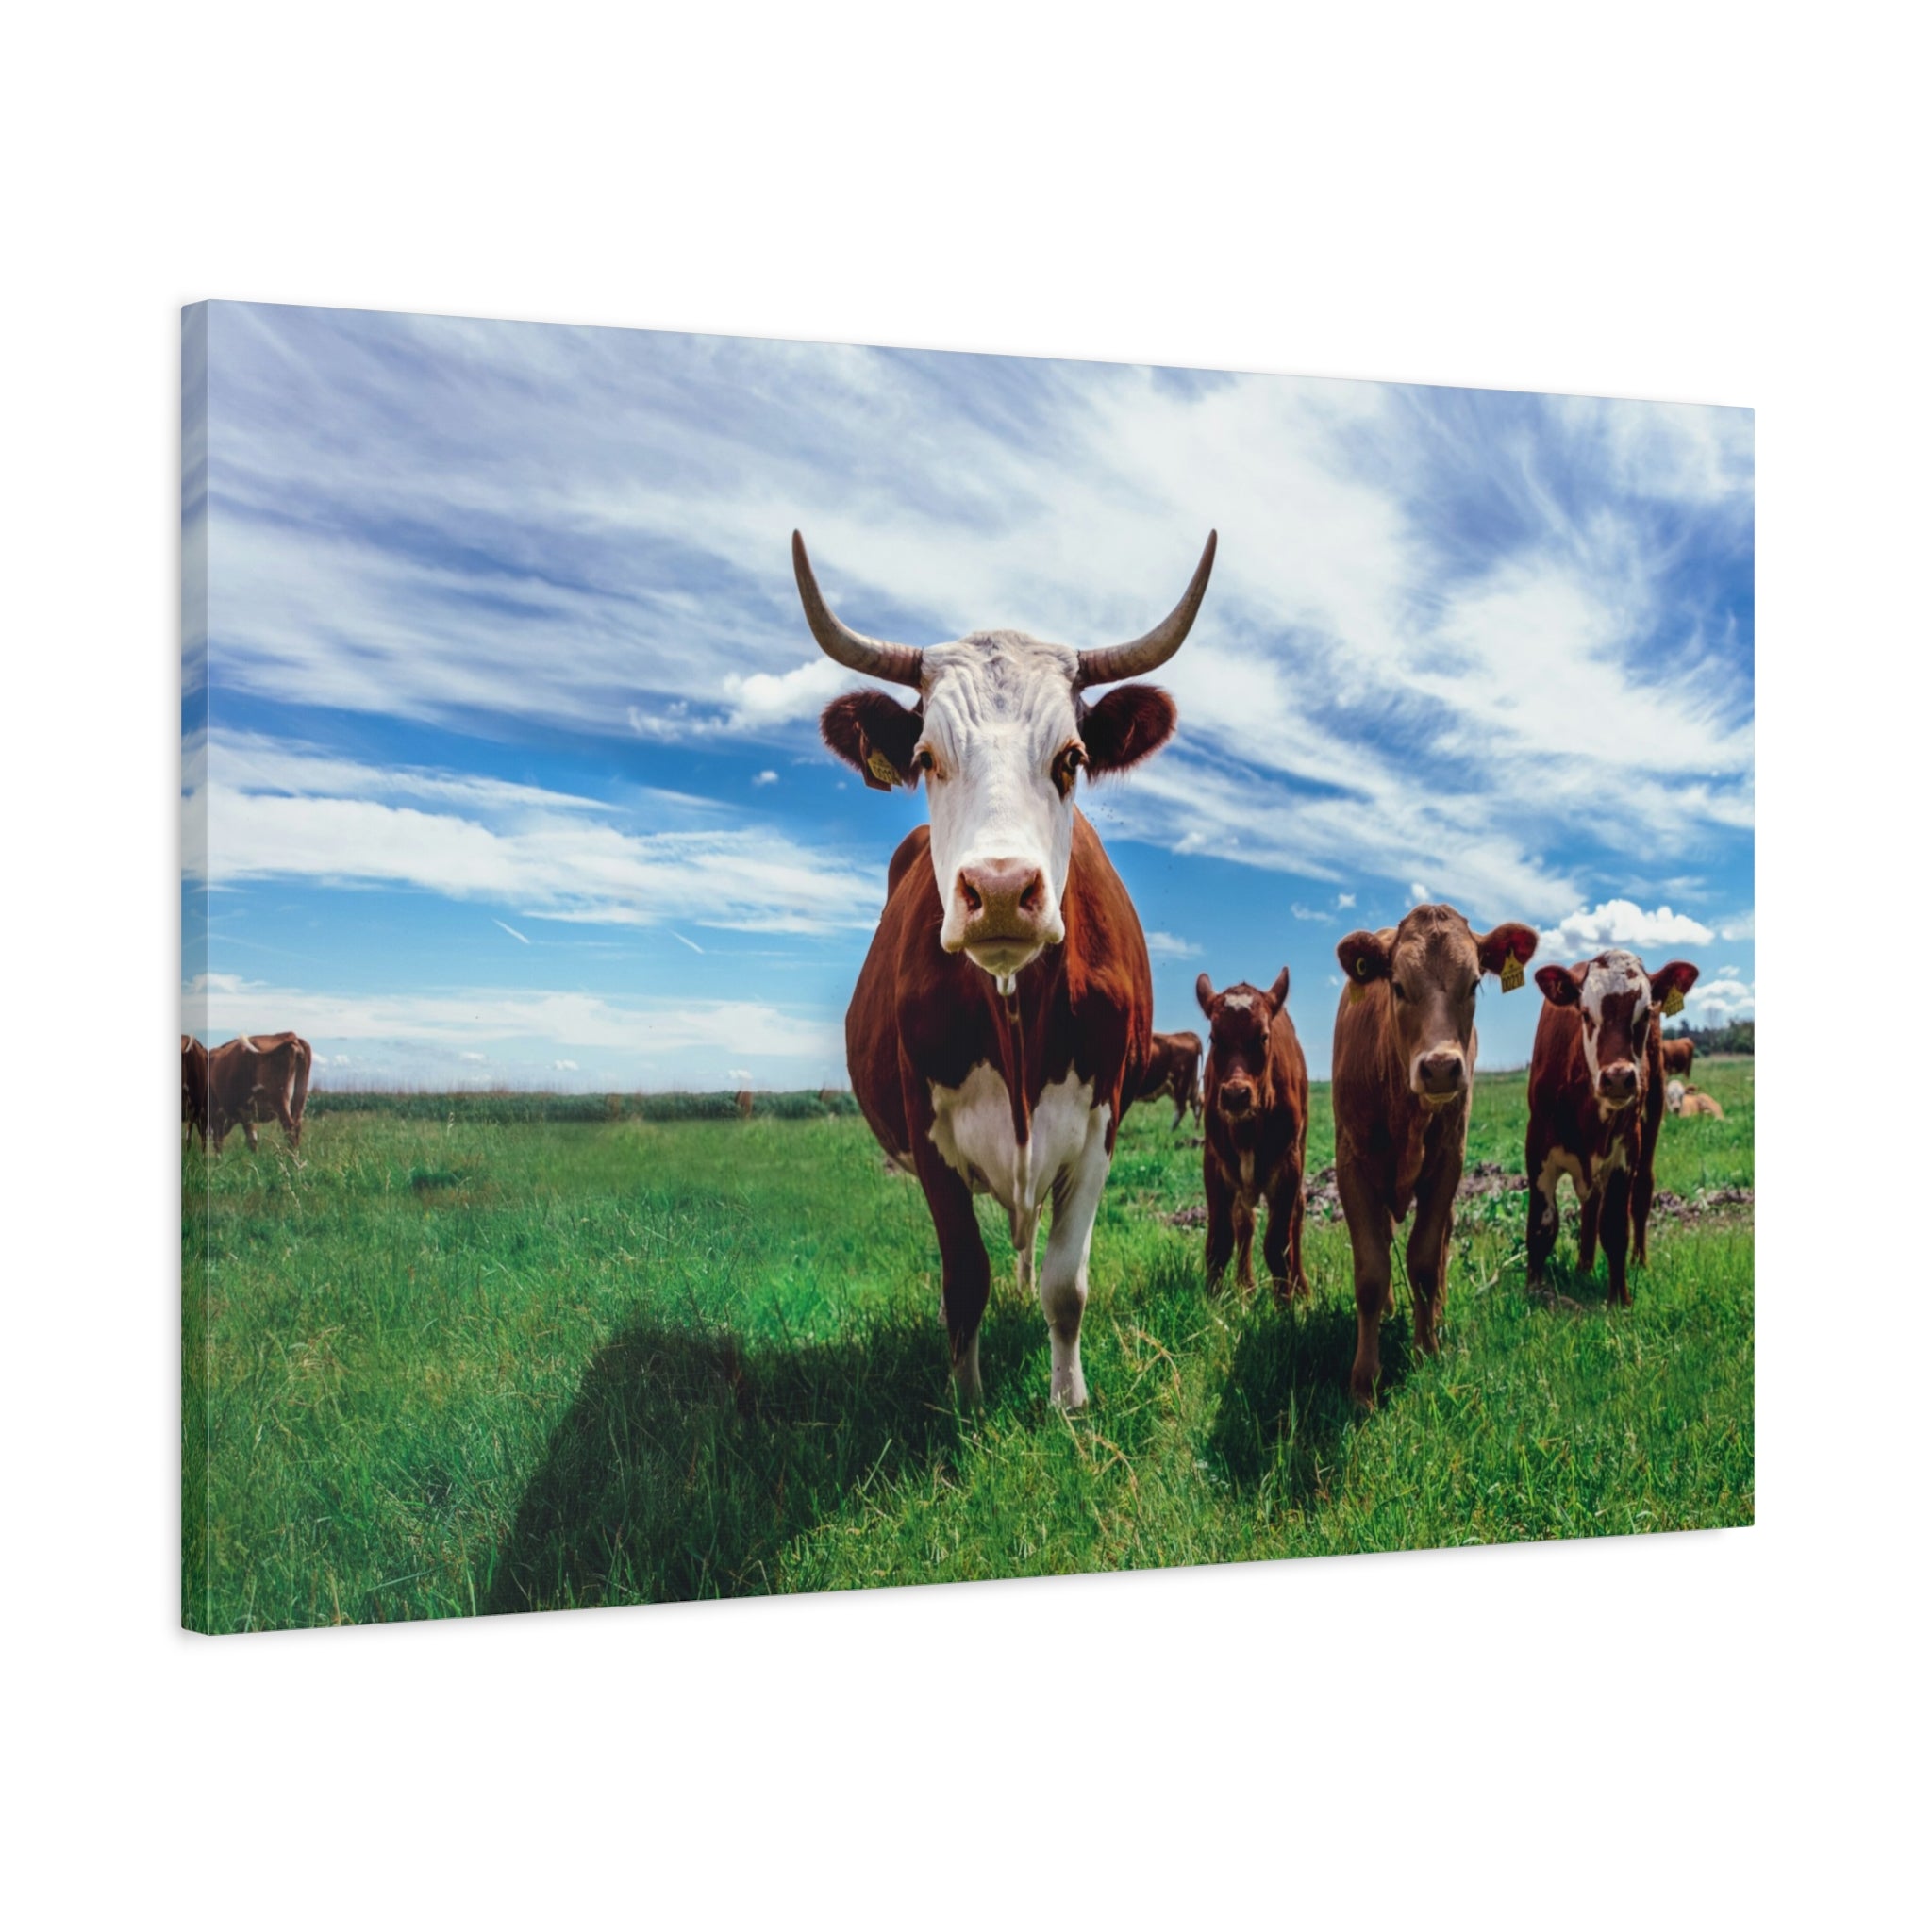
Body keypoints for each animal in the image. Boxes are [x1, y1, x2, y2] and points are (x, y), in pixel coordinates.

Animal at [206, 1032, 313, 1155]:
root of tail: (291, 1036)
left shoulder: (217, 1113)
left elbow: (218, 1142)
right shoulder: (246, 1115)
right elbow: (252, 1140)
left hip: (280, 1100)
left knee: (290, 1128)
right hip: (299, 1099)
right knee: (297, 1126)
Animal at [800, 526, 1215, 1407]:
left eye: (1072, 758)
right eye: (926, 757)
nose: (997, 890)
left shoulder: (1099, 1126)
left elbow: (1067, 1283)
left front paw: (1067, 1399)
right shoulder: (928, 1137)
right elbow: (965, 1280)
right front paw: (967, 1400)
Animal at [1195, 970, 1309, 1302]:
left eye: (1263, 1036)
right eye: (1214, 1037)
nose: (1236, 1094)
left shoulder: (1288, 1165)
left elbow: (1278, 1246)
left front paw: (1285, 1305)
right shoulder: (1214, 1163)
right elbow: (1220, 1242)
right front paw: (1214, 1302)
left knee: (1297, 1212)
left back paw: (1301, 1287)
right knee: (1244, 1220)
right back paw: (1244, 1286)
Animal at [1333, 905, 1541, 1402]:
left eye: (1474, 984)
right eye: (1398, 985)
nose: (1442, 1067)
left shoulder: (1449, 1162)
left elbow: (1425, 1260)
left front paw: (1426, 1349)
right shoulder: (1351, 1165)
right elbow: (1371, 1271)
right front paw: (1364, 1380)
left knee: (1441, 1242)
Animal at [1527, 951, 1700, 1305]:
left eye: (1645, 1013)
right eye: (1585, 1013)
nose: (1619, 1077)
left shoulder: (1625, 1151)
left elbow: (1615, 1227)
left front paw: (1620, 1298)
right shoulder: (1536, 1148)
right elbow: (1542, 1225)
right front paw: (1534, 1291)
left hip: (1653, 1111)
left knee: (1641, 1191)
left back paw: (1639, 1261)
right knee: (1590, 1204)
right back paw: (1583, 1266)